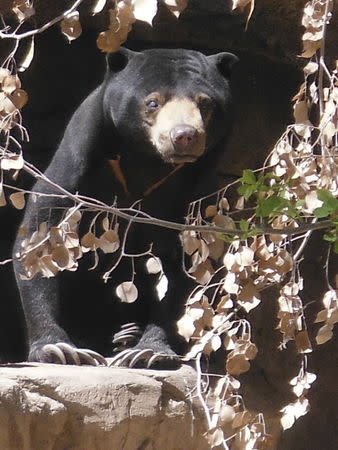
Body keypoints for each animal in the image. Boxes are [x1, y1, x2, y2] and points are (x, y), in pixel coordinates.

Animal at [13, 47, 238, 368]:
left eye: (205, 103)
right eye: (153, 102)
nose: (184, 135)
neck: (149, 161)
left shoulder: (195, 190)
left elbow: (187, 258)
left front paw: (149, 353)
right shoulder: (81, 155)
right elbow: (42, 233)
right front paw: (59, 350)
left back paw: (128, 337)